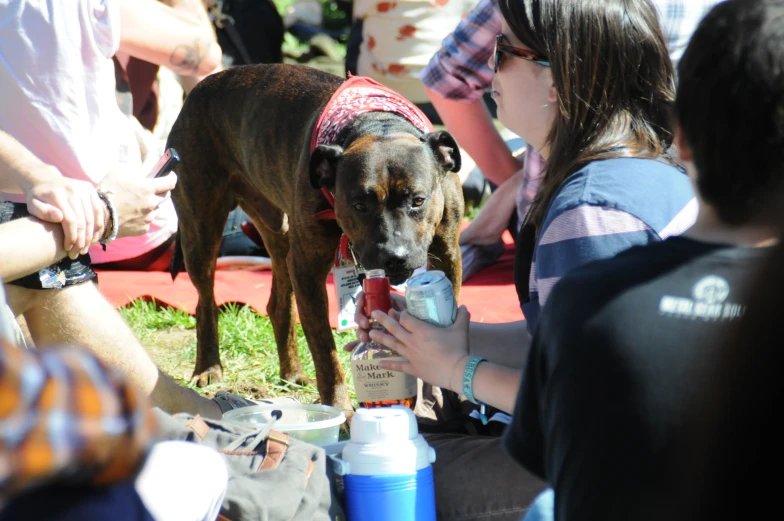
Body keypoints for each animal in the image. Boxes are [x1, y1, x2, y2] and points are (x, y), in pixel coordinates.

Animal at [165, 65, 460, 412]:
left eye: (418, 200)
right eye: (359, 205)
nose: (394, 255)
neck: (376, 122)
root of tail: (197, 90)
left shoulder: (448, 253)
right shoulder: (307, 269)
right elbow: (325, 353)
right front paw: (341, 409)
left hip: (279, 233)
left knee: (279, 304)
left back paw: (291, 373)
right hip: (201, 229)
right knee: (205, 302)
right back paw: (209, 367)